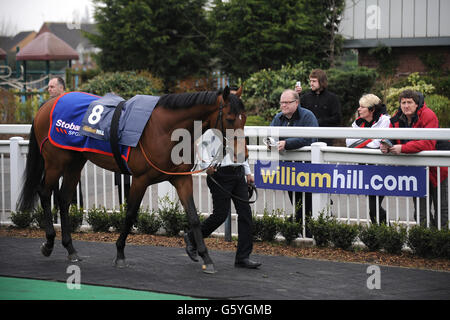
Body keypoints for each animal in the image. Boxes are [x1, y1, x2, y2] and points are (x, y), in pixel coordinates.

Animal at [16, 86, 246, 274]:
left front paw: (206, 257)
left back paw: (71, 249)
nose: (241, 153)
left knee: (64, 199)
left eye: (244, 118)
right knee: (45, 192)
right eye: (230, 118)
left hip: (75, 161)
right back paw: (48, 243)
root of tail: (47, 105)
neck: (165, 130)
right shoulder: (140, 179)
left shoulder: (181, 180)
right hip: (55, 161)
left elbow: (194, 217)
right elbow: (129, 214)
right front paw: (120, 254)